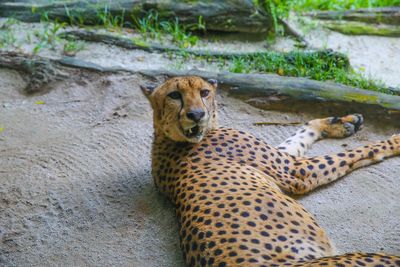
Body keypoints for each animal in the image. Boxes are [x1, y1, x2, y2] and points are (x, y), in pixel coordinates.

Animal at [141, 76, 400, 266]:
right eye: (174, 95)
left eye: (204, 92)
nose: (196, 115)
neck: (167, 137)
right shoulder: (296, 171)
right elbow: (356, 152)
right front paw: (395, 141)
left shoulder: (284, 160)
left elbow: (302, 132)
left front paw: (342, 122)